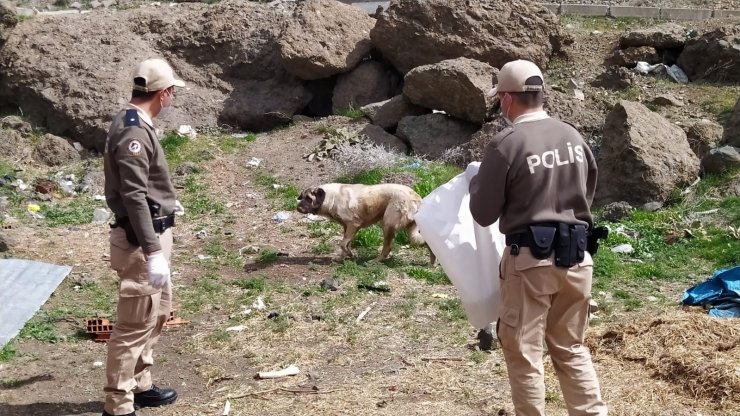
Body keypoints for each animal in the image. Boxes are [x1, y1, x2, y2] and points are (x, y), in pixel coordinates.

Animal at [294, 182, 434, 264]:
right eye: (302, 197)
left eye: (309, 199)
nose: (298, 208)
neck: (331, 197)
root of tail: (417, 197)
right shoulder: (347, 228)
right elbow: (346, 244)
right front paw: (343, 257)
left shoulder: (353, 225)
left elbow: (343, 244)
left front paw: (350, 255)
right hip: (410, 230)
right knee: (425, 242)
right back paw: (433, 263)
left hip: (387, 225)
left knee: (387, 248)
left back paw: (375, 261)